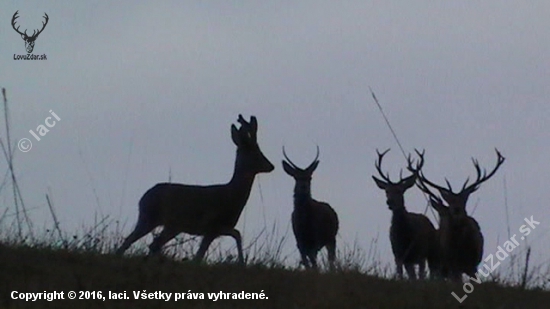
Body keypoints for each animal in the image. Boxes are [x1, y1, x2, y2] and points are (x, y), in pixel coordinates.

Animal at [118, 115, 278, 262]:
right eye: (255, 152)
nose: (271, 166)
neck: (231, 195)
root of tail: (143, 198)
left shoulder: (218, 229)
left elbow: (233, 235)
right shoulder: (213, 226)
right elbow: (207, 251)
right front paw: (241, 262)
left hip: (171, 226)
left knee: (152, 244)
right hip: (151, 218)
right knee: (132, 241)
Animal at [374, 149, 438, 280]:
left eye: (400, 190)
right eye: (387, 191)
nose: (389, 202)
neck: (405, 235)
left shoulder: (420, 253)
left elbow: (420, 276)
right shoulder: (398, 255)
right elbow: (401, 275)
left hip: (430, 252)